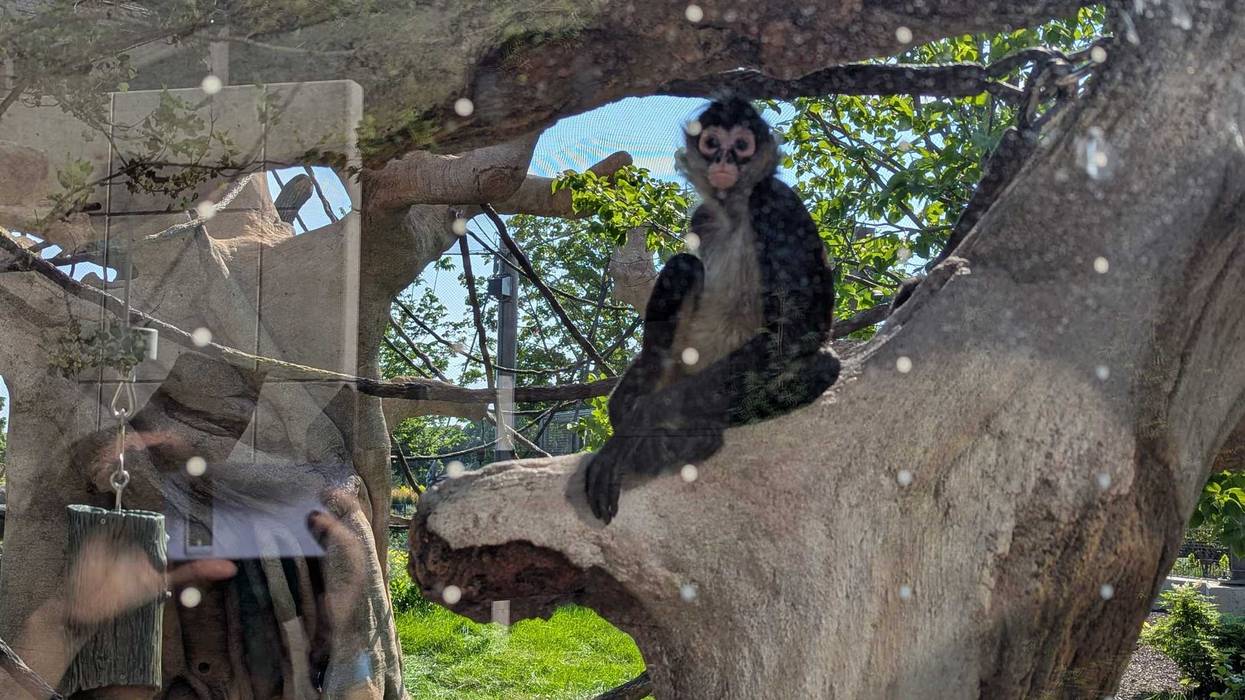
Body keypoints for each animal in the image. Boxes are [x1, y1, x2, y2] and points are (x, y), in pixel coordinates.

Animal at [583, 96, 841, 524]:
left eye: (742, 145)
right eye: (711, 142)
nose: (723, 158)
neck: (733, 210)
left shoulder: (775, 200)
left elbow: (802, 327)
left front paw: (643, 418)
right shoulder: (701, 217)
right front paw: (625, 413)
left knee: (822, 366)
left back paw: (679, 438)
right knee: (684, 265)